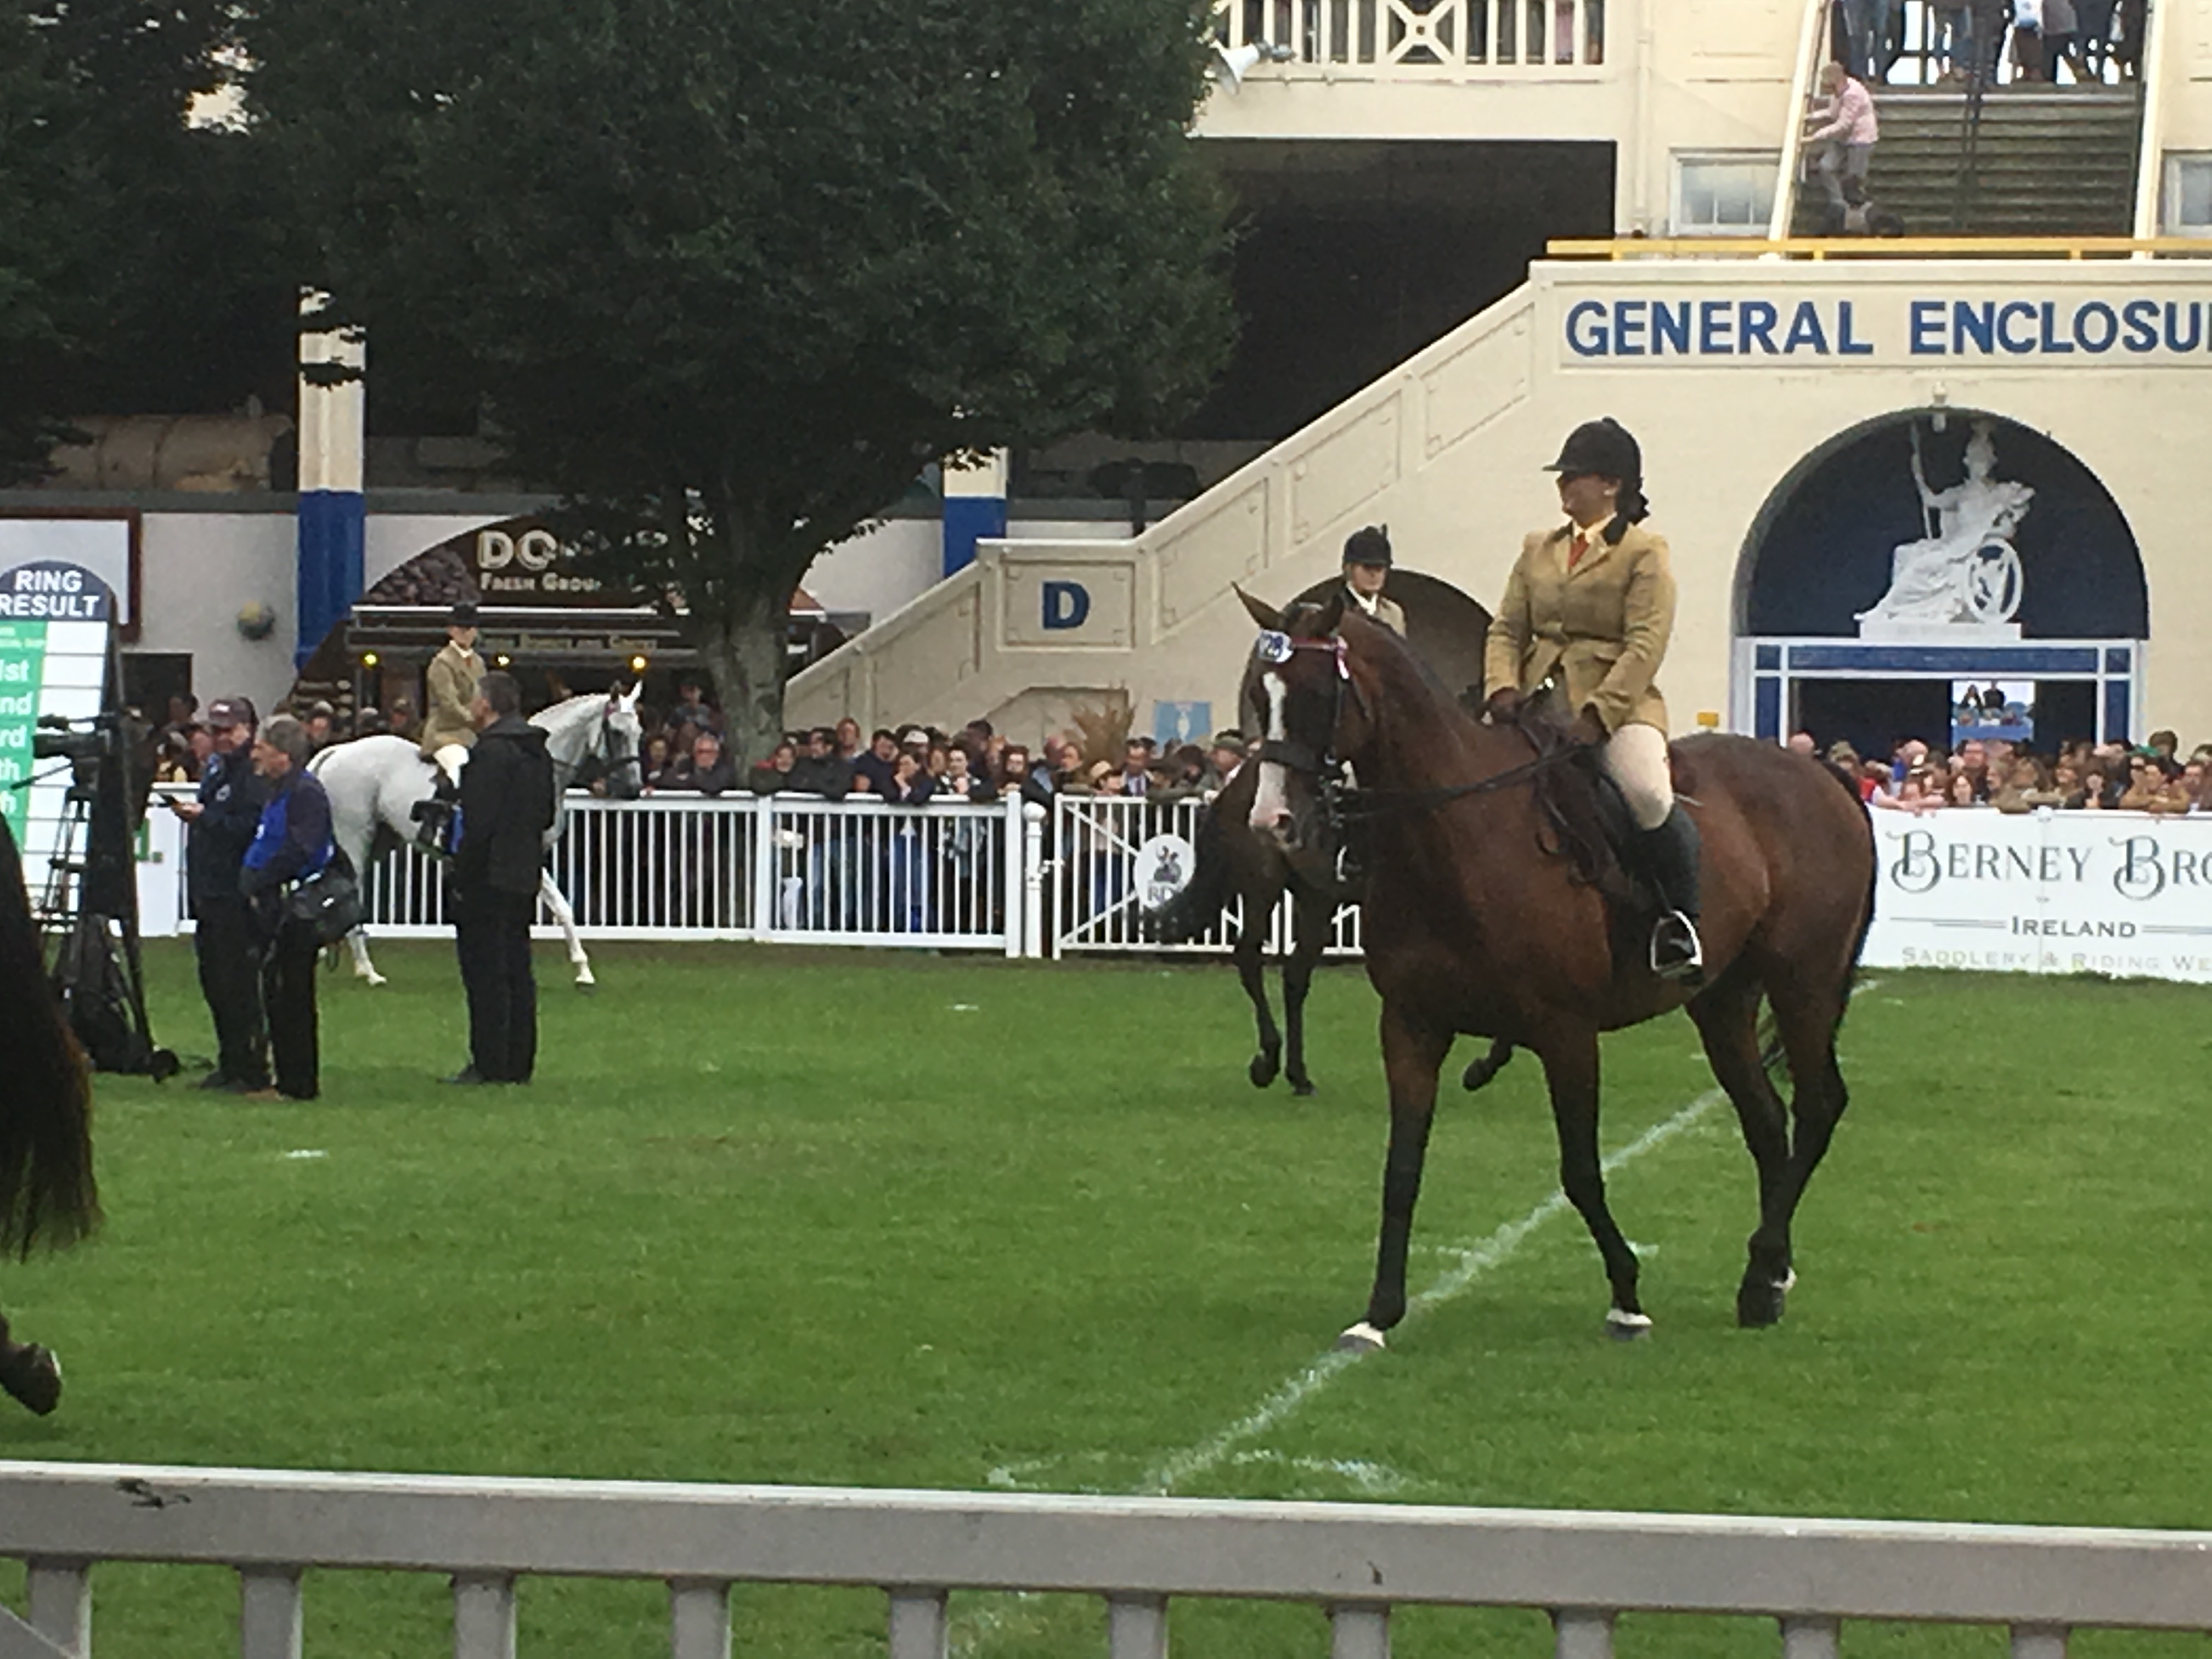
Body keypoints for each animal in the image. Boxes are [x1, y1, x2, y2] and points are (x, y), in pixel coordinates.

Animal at [308, 688, 644, 988]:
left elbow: (562, 908)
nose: (633, 789)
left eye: (639, 731)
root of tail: (341, 749)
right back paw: (369, 970)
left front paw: (583, 971)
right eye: (616, 733)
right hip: (355, 839)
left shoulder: (529, 858)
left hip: (379, 841)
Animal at [1238, 587, 1876, 1346]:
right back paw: (1770, 1275)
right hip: (1723, 1001)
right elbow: (1401, 1171)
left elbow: (1580, 1172)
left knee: (1818, 1107)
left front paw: (1627, 1296)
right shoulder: (1411, 1027)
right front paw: (1379, 1313)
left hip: (1804, 985)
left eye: (1314, 694)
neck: (1453, 839)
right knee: (1766, 1122)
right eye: (1258, 694)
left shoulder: (1565, 1034)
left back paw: (1760, 1278)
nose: (1272, 822)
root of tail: (1820, 773)